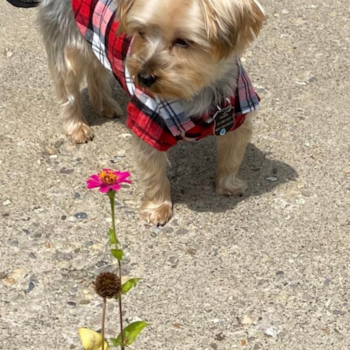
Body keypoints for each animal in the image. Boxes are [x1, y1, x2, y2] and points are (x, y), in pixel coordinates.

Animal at [37, 0, 266, 224]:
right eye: (141, 32)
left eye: (183, 42)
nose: (144, 77)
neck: (195, 92)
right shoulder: (147, 122)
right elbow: (154, 172)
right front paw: (158, 208)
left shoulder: (238, 113)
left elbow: (232, 156)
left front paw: (228, 185)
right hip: (67, 37)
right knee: (68, 86)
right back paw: (77, 127)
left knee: (96, 69)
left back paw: (106, 106)